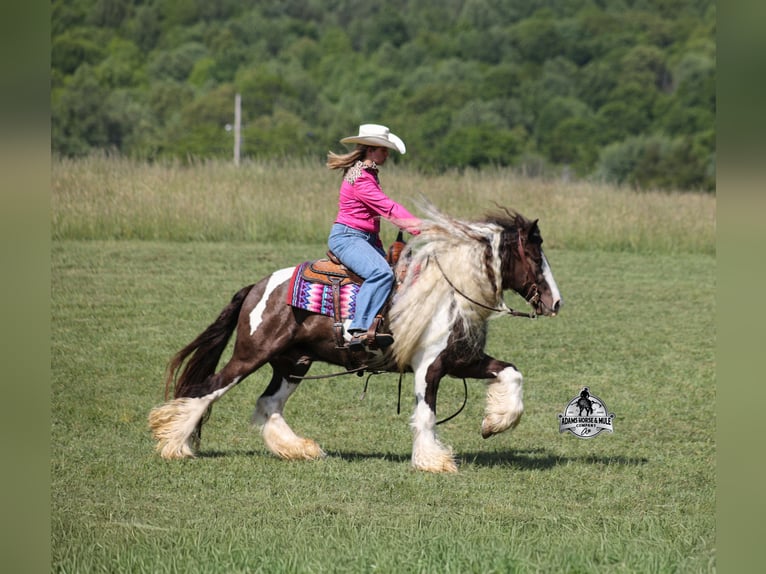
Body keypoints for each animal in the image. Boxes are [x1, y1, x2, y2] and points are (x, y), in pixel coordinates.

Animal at [148, 206, 562, 473]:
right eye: (533, 255)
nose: (555, 302)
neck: (448, 289)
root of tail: (257, 286)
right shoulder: (429, 367)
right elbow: (426, 414)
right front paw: (433, 461)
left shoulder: (460, 360)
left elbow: (512, 373)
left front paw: (495, 423)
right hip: (251, 355)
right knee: (209, 389)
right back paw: (175, 445)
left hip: (293, 363)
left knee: (269, 403)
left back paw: (300, 449)